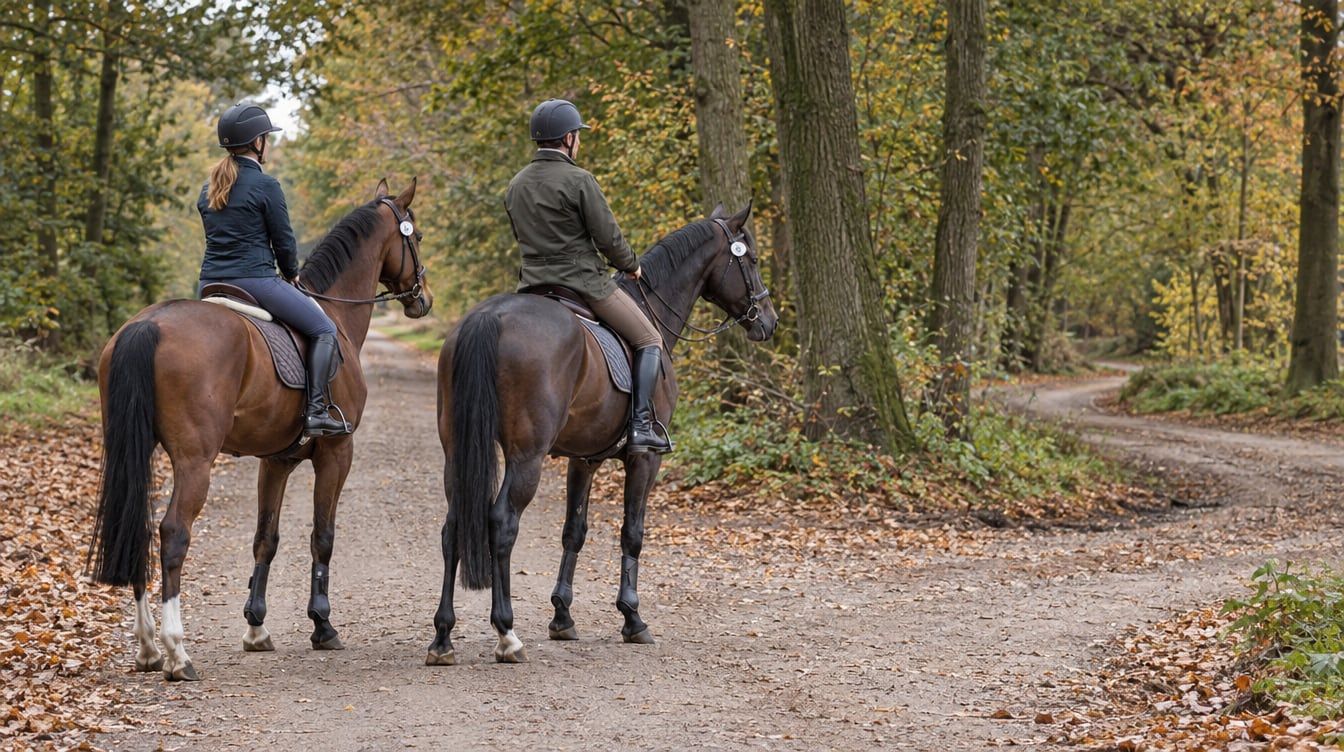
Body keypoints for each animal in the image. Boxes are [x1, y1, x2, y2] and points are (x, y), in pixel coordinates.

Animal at [87, 179, 432, 681]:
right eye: (417, 236)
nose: (423, 298)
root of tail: (147, 324)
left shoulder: (277, 460)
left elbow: (265, 540)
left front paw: (256, 628)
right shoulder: (336, 453)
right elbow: (322, 537)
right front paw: (322, 626)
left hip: (134, 452)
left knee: (139, 527)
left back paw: (148, 648)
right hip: (195, 461)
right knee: (172, 533)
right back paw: (176, 652)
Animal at [426, 202, 778, 664]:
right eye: (750, 259)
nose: (768, 322)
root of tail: (488, 318)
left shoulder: (584, 458)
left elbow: (574, 531)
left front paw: (562, 617)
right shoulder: (645, 458)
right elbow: (633, 533)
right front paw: (633, 619)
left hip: (456, 452)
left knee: (452, 528)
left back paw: (443, 637)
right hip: (526, 456)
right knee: (501, 523)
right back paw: (507, 634)